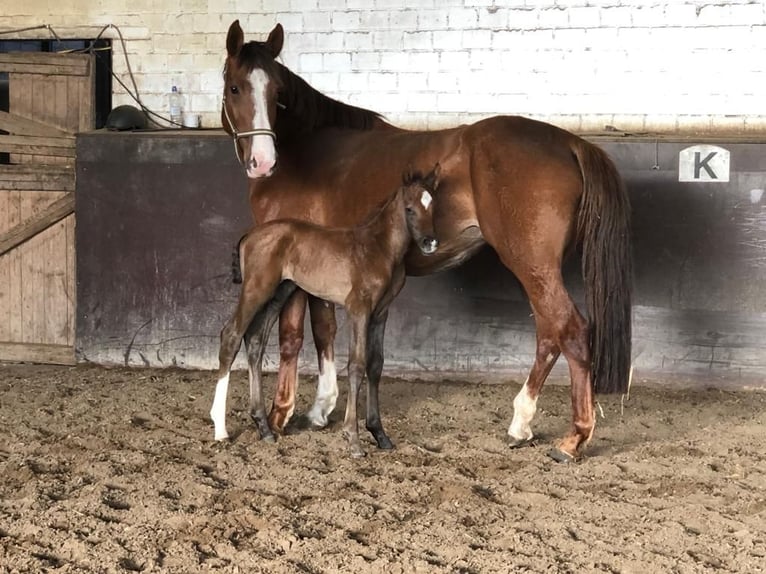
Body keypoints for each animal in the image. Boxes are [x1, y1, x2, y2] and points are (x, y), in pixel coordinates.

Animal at [210, 166, 441, 457]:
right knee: (231, 335)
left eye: (433, 205)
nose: (430, 243)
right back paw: (220, 430)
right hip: (256, 289)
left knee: (254, 340)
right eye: (409, 209)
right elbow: (357, 364)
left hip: (279, 293)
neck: (379, 248)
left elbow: (376, 365)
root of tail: (249, 235)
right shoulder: (358, 309)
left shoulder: (381, 313)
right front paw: (353, 440)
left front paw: (380, 434)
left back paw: (263, 428)